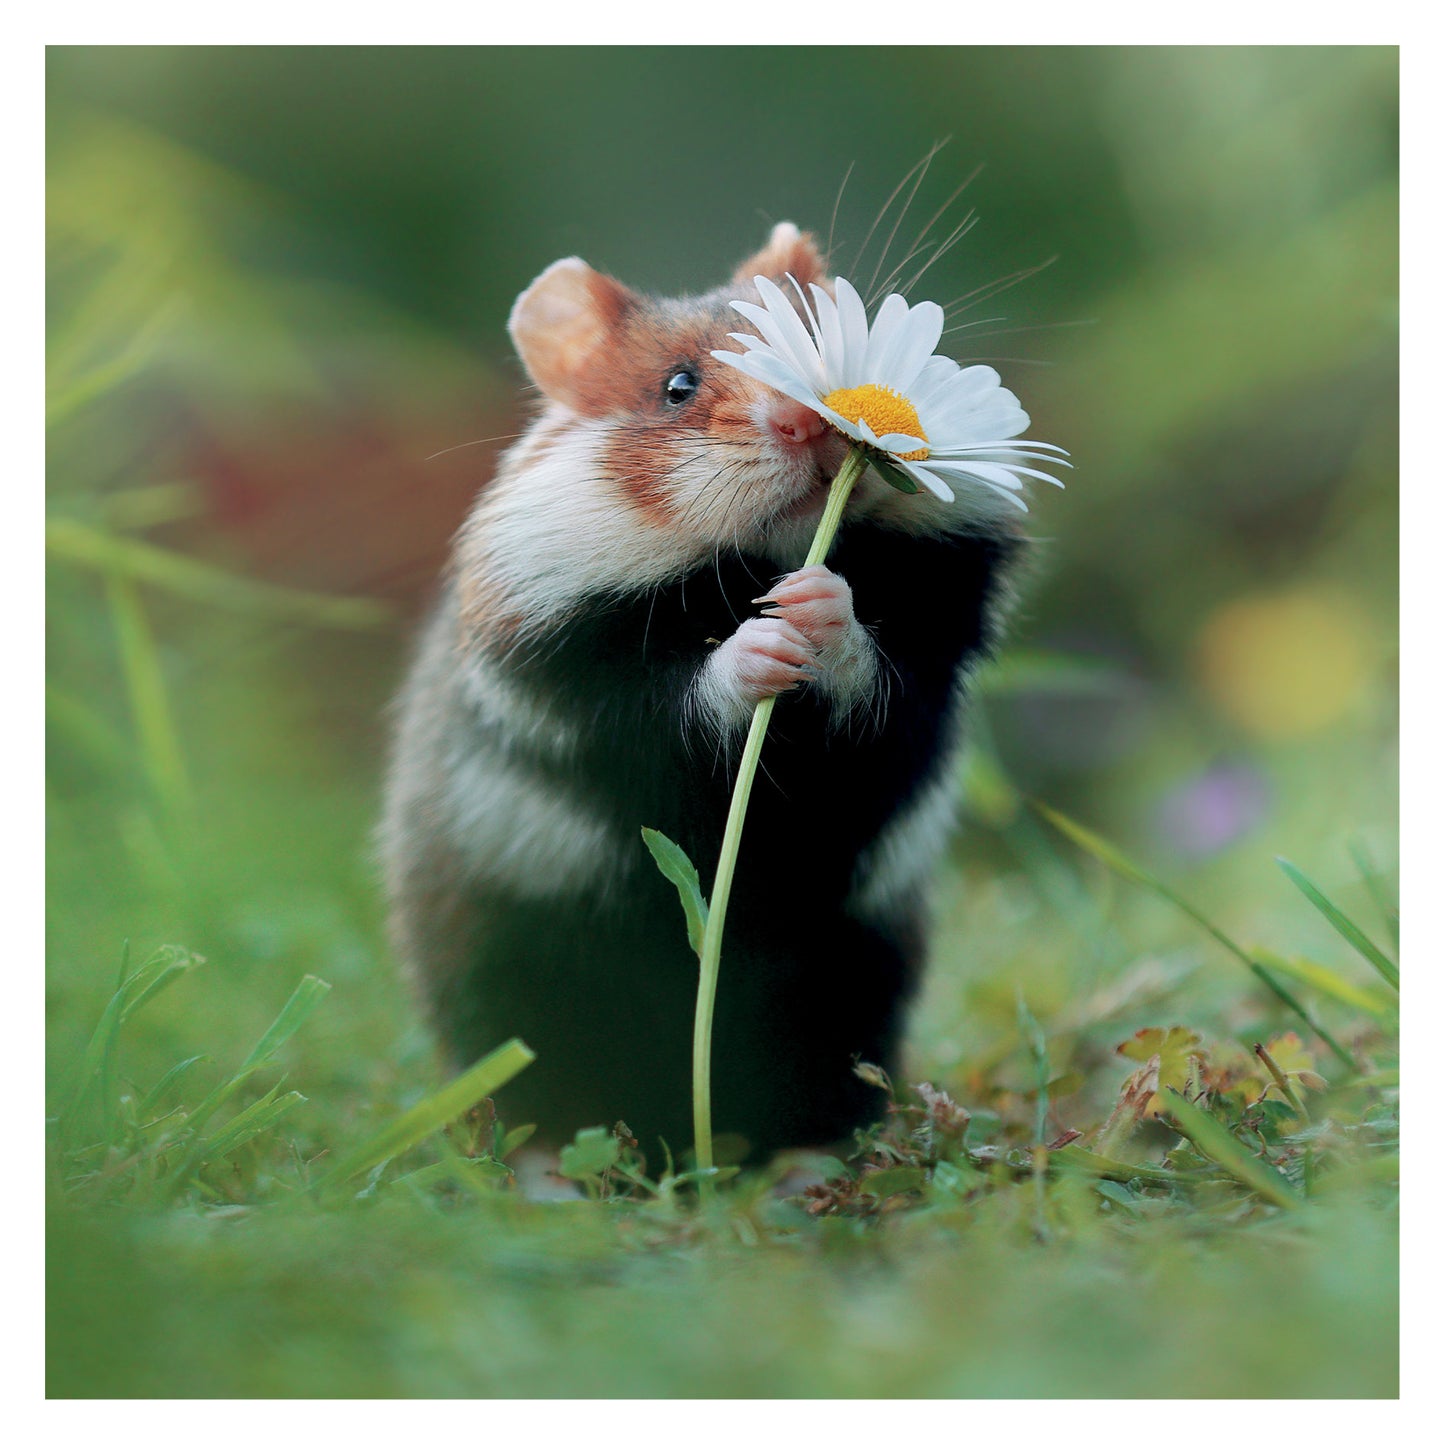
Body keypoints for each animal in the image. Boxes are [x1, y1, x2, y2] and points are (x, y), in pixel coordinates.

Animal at [380, 222, 1026, 1161]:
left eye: (816, 331)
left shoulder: (928, 668)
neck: (746, 565)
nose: (807, 419)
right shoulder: (584, 686)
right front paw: (762, 640)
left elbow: (876, 673)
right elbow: (679, 698)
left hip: (854, 974)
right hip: (515, 974)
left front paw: (815, 604)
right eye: (676, 387)